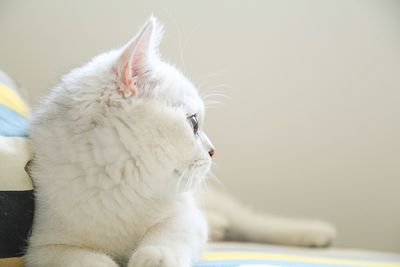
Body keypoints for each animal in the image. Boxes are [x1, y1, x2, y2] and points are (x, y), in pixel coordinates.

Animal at [25, 17, 334, 267]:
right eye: (194, 123)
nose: (213, 151)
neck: (121, 185)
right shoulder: (43, 246)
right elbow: (87, 260)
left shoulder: (186, 217)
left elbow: (167, 234)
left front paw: (155, 257)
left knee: (248, 220)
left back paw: (314, 232)